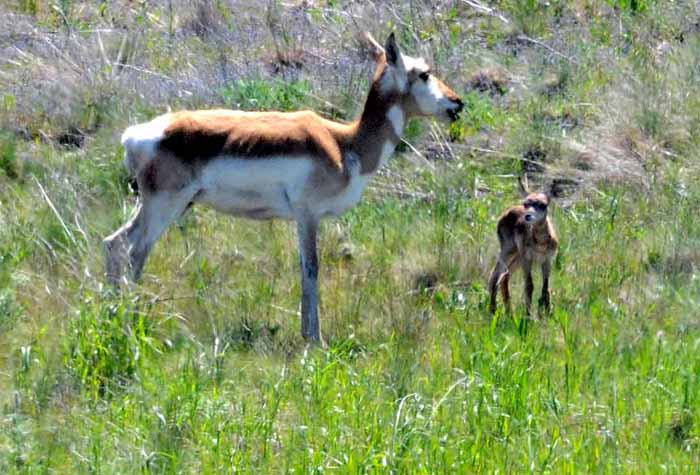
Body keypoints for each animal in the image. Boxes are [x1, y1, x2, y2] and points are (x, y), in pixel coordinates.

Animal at [105, 33, 464, 344]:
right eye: (424, 73)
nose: (457, 102)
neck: (343, 144)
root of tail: (136, 135)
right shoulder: (308, 215)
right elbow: (312, 267)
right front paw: (315, 338)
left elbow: (304, 267)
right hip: (165, 206)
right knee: (135, 250)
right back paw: (133, 319)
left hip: (163, 206)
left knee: (115, 243)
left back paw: (115, 315)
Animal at [490, 178, 560, 316]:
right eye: (526, 203)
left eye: (543, 204)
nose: (528, 216)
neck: (541, 244)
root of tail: (507, 212)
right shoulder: (528, 259)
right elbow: (529, 285)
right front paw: (528, 315)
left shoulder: (547, 260)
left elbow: (546, 288)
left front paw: (547, 313)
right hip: (509, 252)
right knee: (495, 274)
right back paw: (493, 310)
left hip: (517, 257)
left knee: (505, 275)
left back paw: (509, 311)